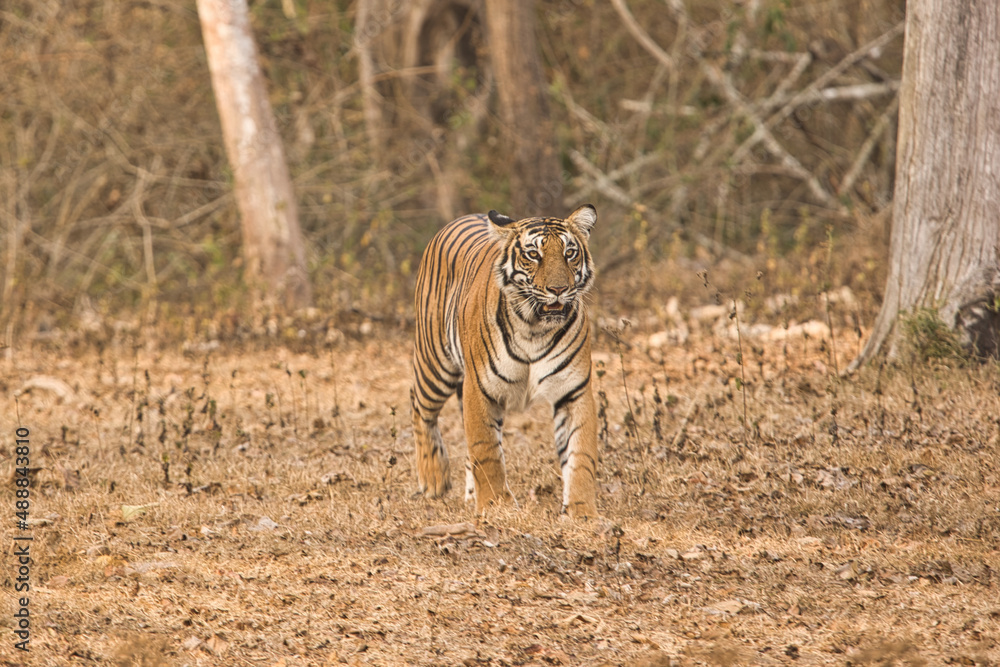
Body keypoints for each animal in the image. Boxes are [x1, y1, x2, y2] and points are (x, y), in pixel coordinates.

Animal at [410, 204, 599, 519]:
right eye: (533, 254)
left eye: (570, 252)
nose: (559, 289)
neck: (535, 328)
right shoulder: (480, 388)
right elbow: (486, 450)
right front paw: (495, 505)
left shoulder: (574, 390)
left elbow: (581, 453)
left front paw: (581, 511)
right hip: (435, 363)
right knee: (420, 409)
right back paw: (433, 478)